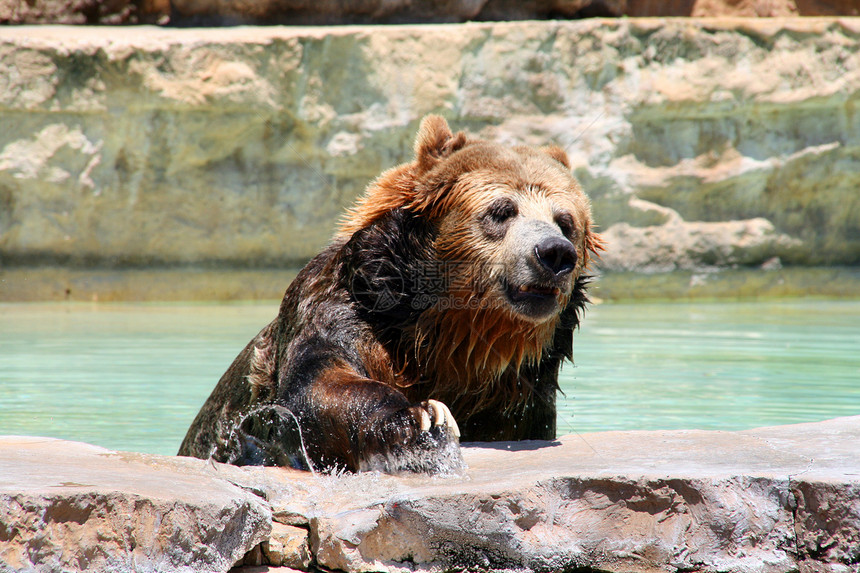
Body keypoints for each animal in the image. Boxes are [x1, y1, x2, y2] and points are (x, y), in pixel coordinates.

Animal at [178, 114, 600, 472]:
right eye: (502, 210)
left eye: (565, 221)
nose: (554, 253)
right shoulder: (342, 310)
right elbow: (321, 381)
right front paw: (424, 418)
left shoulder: (519, 397)